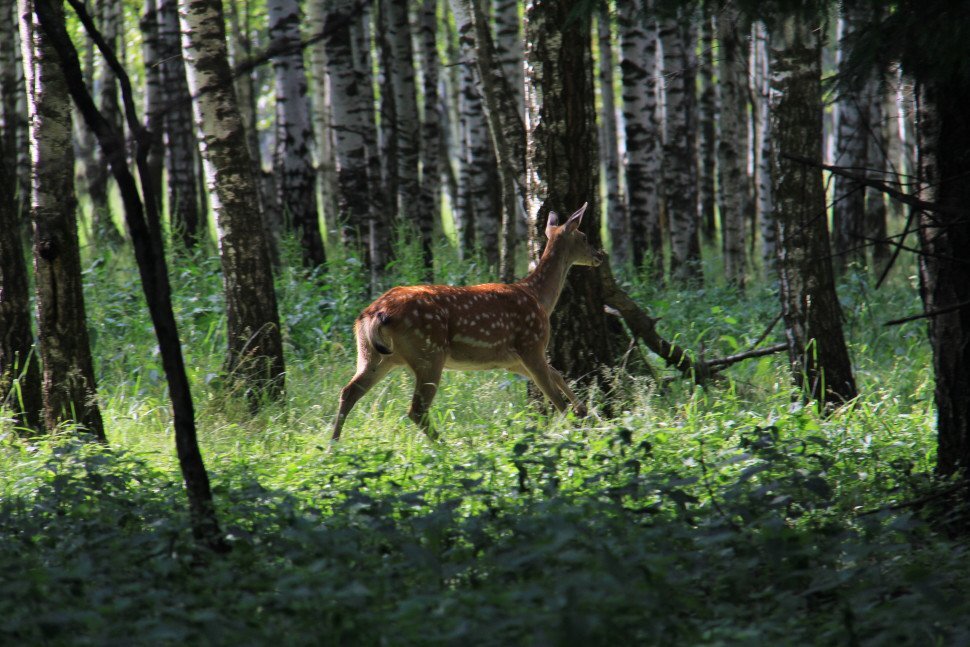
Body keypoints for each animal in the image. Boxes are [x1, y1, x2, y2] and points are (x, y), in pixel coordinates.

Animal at [334, 204, 604, 440]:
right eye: (584, 236)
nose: (600, 255)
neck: (537, 298)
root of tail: (375, 313)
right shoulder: (531, 343)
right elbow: (555, 396)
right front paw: (579, 428)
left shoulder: (509, 360)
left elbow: (556, 374)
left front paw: (584, 411)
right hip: (429, 353)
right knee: (416, 410)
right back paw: (449, 448)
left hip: (373, 354)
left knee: (349, 391)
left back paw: (333, 445)